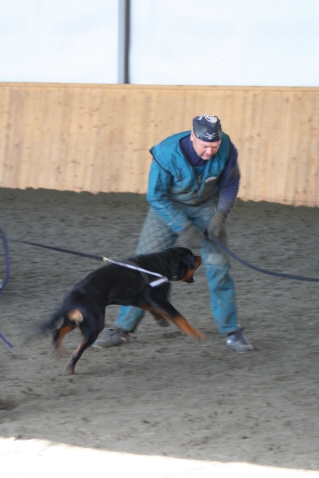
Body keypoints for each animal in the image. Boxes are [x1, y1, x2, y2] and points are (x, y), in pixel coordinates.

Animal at [41, 248, 205, 376]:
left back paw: (58, 352)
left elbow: (150, 308)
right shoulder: (158, 298)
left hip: (76, 321)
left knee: (57, 333)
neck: (162, 264)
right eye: (191, 257)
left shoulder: (139, 298)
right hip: (94, 325)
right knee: (76, 352)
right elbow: (179, 317)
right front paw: (196, 334)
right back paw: (69, 369)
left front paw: (160, 318)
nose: (200, 256)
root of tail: (70, 300)